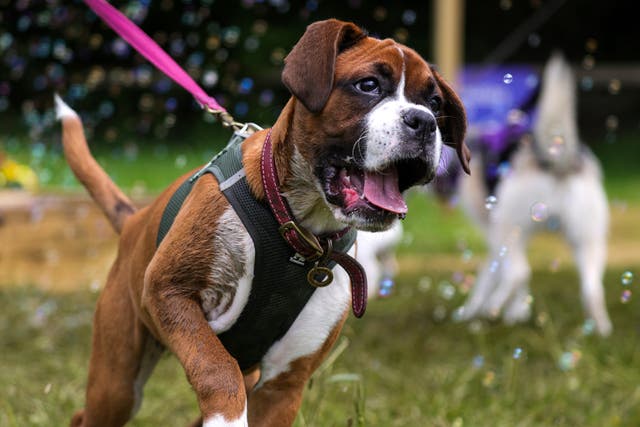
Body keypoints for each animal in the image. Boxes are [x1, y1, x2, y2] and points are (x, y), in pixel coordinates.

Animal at [58, 18, 470, 426]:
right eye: (368, 85)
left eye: (435, 103)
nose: (424, 122)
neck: (298, 229)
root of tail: (134, 220)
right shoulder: (167, 291)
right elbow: (216, 367)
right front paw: (226, 417)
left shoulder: (283, 385)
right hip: (117, 382)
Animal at [458, 53, 612, 336]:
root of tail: (555, 156)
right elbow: (495, 273)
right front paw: (518, 311)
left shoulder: (492, 230)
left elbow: (493, 274)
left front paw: (474, 309)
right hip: (588, 238)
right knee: (592, 289)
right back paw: (600, 330)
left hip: (508, 227)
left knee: (519, 272)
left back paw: (493, 307)